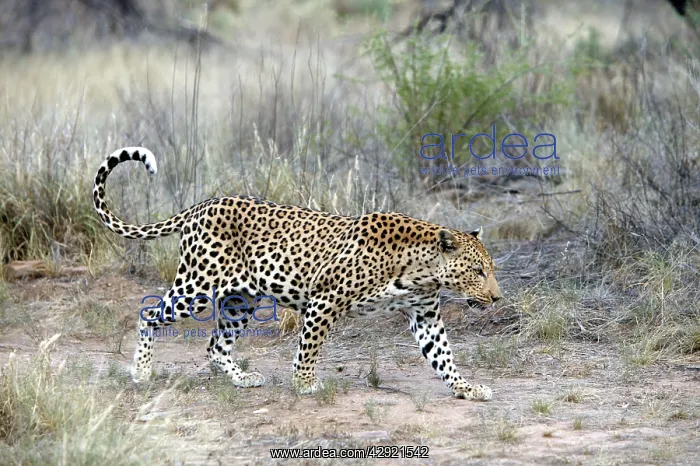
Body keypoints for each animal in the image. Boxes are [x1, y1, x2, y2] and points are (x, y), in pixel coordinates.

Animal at [92, 146, 502, 401]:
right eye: (478, 270)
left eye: (489, 270)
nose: (497, 297)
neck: (421, 270)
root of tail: (201, 205)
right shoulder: (325, 300)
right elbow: (309, 346)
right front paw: (305, 384)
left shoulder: (426, 315)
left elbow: (443, 357)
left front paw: (467, 388)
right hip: (197, 286)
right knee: (148, 313)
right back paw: (142, 371)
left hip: (240, 300)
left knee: (215, 345)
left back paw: (242, 379)